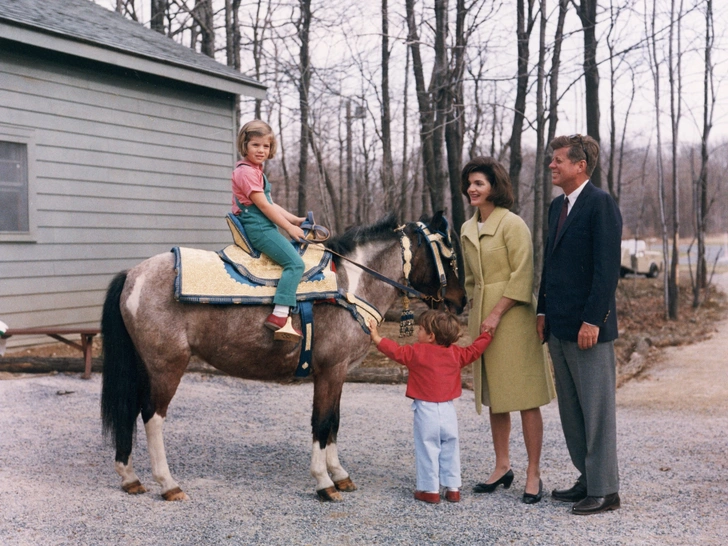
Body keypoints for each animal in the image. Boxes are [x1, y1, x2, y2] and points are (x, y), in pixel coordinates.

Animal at [101, 210, 466, 500]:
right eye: (448, 256)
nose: (461, 302)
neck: (350, 287)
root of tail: (133, 275)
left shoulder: (338, 373)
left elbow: (334, 422)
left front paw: (340, 475)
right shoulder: (330, 370)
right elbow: (321, 423)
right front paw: (324, 483)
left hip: (144, 365)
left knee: (130, 409)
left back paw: (130, 477)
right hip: (166, 366)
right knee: (152, 416)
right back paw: (168, 484)